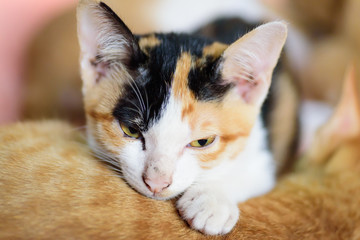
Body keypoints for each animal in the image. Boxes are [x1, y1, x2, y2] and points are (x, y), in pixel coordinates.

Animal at [77, 0, 288, 234]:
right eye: (130, 130)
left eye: (202, 141)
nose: (156, 183)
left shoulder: (262, 152)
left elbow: (252, 173)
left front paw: (211, 200)